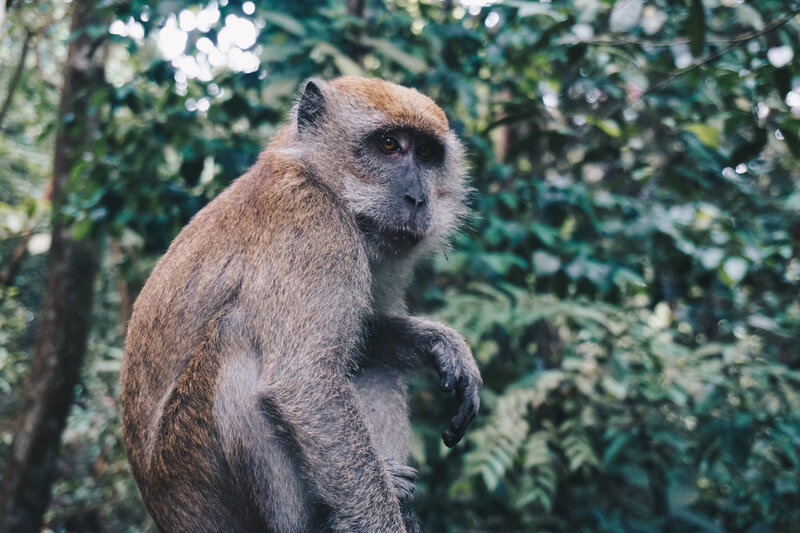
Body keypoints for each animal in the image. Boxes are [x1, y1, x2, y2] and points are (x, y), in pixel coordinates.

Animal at [120, 77, 481, 533]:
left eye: (427, 154)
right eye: (388, 145)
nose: (417, 198)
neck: (317, 176)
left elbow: (364, 337)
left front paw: (442, 344)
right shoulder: (314, 229)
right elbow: (305, 381)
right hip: (196, 479)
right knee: (236, 336)